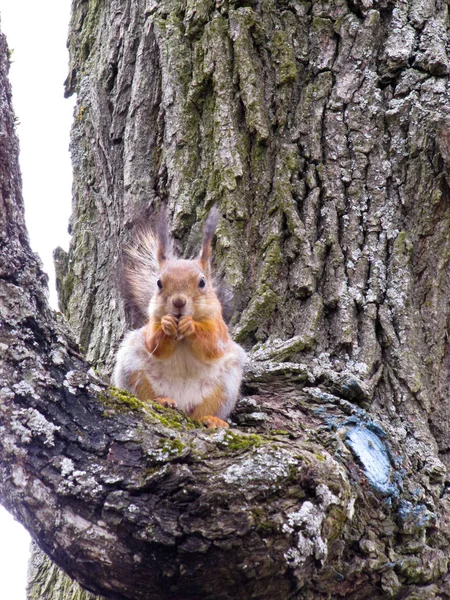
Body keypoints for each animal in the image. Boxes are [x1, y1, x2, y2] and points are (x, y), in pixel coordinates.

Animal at [112, 206, 246, 426]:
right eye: (159, 283)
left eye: (202, 282)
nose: (178, 302)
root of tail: (182, 402)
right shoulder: (152, 323)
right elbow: (154, 344)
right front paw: (167, 324)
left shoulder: (219, 327)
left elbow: (211, 346)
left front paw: (191, 326)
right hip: (132, 369)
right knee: (145, 395)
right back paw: (162, 401)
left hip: (225, 386)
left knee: (203, 412)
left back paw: (212, 420)